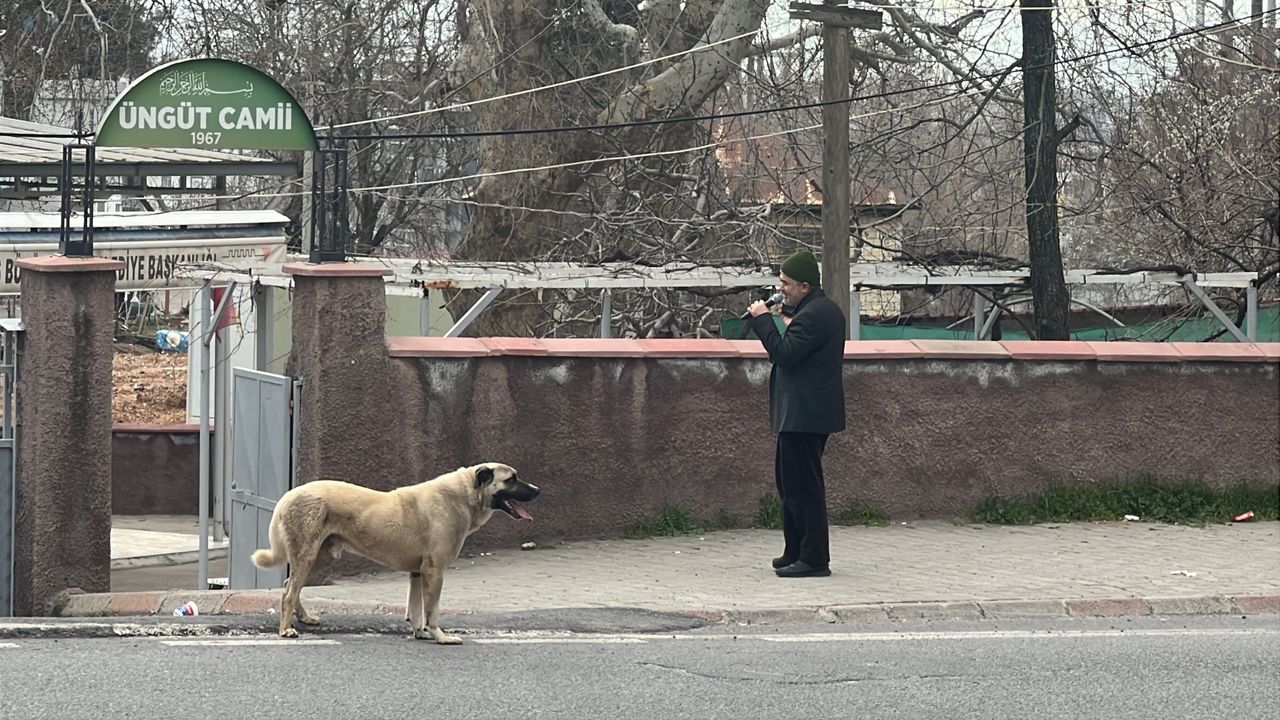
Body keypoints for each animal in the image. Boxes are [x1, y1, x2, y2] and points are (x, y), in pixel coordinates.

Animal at [251, 462, 539, 643]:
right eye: (511, 479)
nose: (538, 490)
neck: (465, 493)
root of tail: (289, 495)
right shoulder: (435, 572)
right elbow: (432, 610)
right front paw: (440, 636)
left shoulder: (418, 573)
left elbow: (416, 609)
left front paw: (421, 633)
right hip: (308, 553)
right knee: (289, 592)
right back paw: (286, 629)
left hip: (322, 556)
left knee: (290, 583)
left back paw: (303, 617)